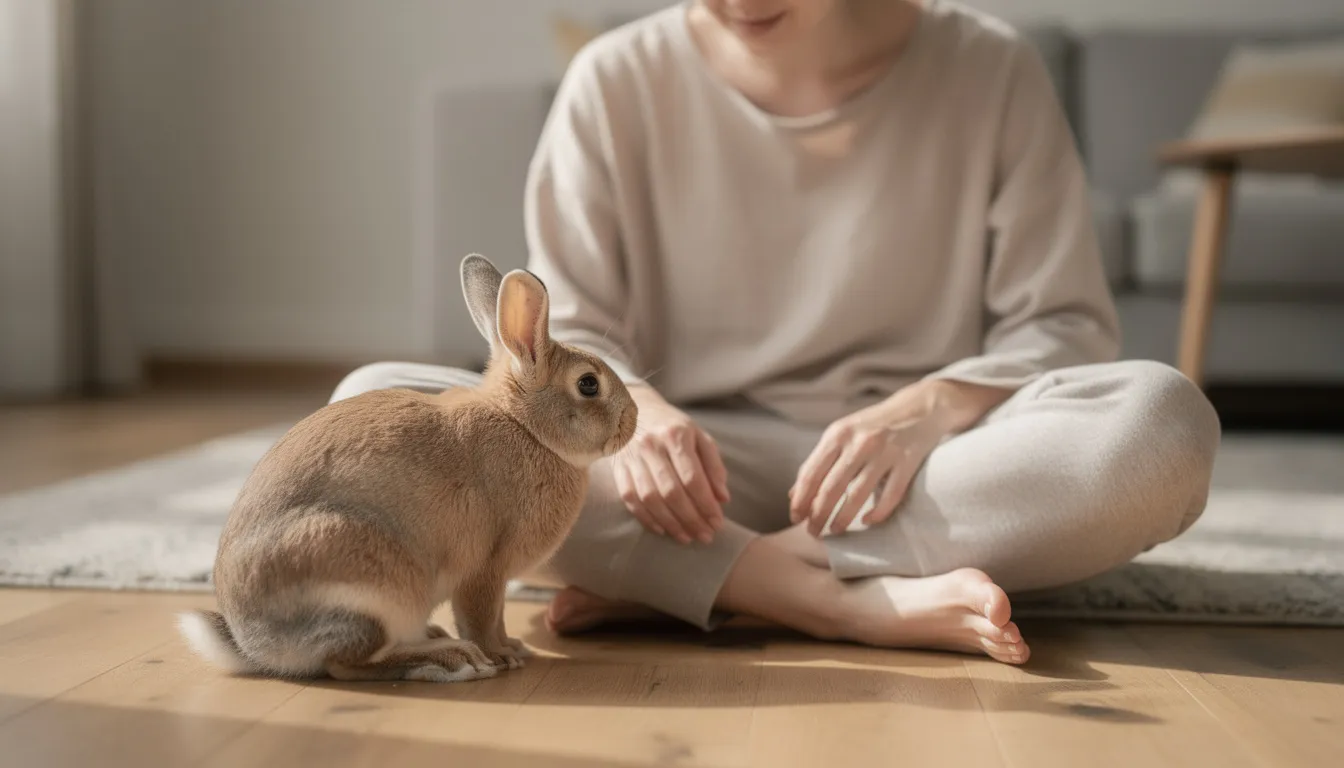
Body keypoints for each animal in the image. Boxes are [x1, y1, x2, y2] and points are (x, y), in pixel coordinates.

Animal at [176, 254, 639, 683]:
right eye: (588, 384)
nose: (633, 419)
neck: (525, 425)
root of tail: (256, 645)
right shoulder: (486, 568)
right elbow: (483, 617)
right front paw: (501, 656)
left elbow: (498, 617)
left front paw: (515, 647)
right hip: (375, 585)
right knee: (347, 664)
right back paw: (452, 658)